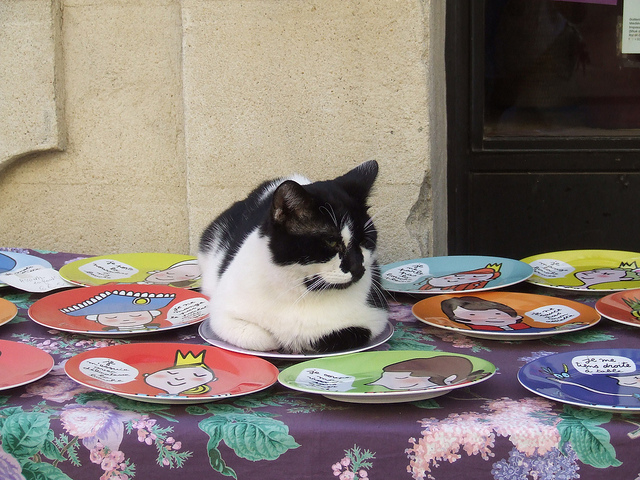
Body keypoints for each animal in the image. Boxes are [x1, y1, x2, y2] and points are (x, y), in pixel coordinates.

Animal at [197, 160, 389, 353]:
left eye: (365, 240)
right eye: (331, 242)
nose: (358, 268)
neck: (301, 293)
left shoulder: (375, 318)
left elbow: (329, 336)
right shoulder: (221, 313)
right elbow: (263, 338)